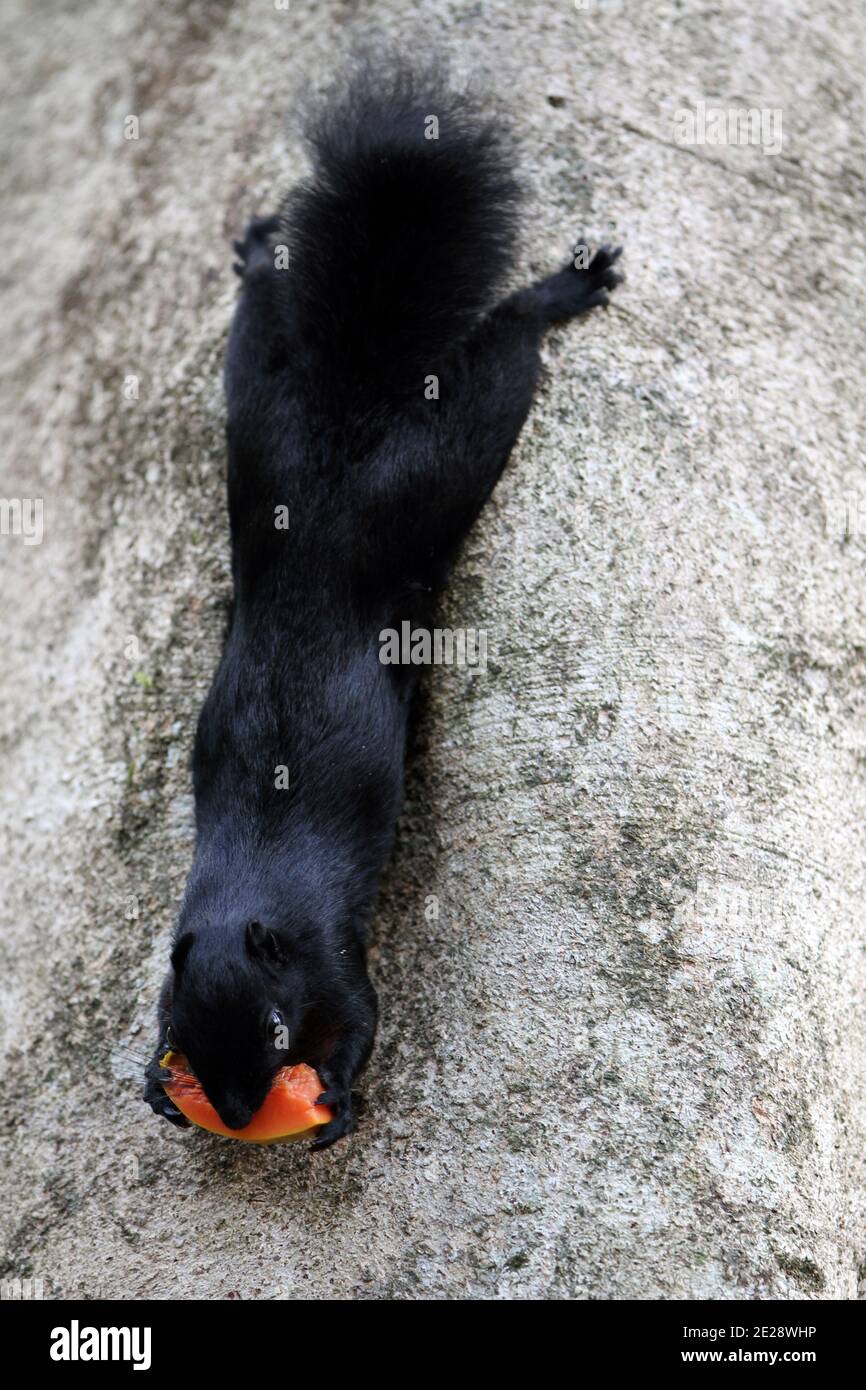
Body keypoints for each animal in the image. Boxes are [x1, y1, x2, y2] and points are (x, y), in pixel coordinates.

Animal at [143, 59, 622, 1148]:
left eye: (277, 1034)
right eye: (190, 1029)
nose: (240, 1109)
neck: (250, 901)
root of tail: (330, 461)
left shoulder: (332, 952)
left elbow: (362, 1017)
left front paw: (340, 1098)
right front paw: (156, 1084)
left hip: (429, 470)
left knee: (503, 359)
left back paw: (559, 292)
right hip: (261, 417)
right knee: (260, 328)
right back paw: (259, 251)